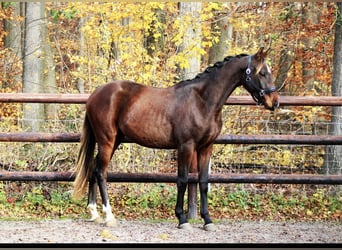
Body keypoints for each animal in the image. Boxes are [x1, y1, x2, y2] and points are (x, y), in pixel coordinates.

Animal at [72, 47, 278, 230]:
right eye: (262, 73)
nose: (274, 102)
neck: (202, 101)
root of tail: (95, 94)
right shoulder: (186, 147)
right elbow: (183, 180)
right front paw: (182, 219)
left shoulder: (206, 147)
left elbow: (203, 183)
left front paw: (207, 220)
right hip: (107, 141)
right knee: (101, 172)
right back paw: (109, 216)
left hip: (114, 141)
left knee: (93, 169)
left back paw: (94, 213)